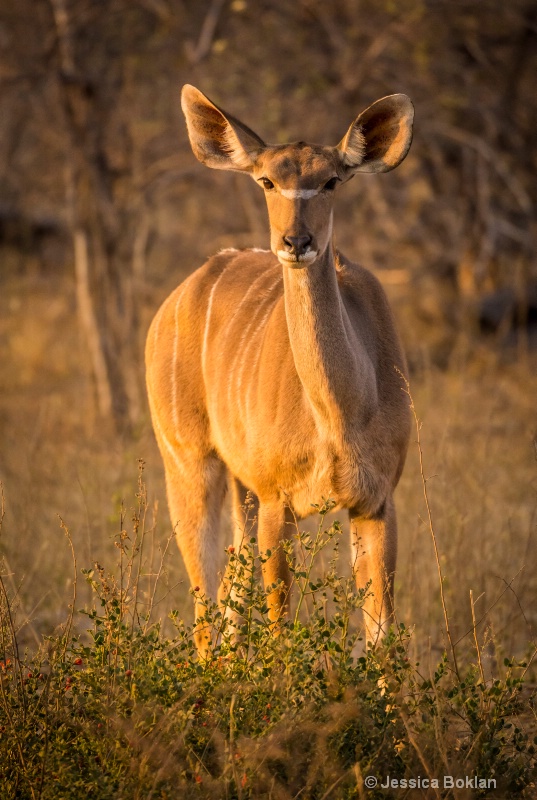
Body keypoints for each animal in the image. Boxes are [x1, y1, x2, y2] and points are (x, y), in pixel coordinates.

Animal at [147, 84, 414, 652]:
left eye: (331, 180)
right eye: (267, 181)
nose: (295, 243)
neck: (340, 416)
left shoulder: (377, 502)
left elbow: (381, 640)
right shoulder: (278, 501)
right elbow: (280, 635)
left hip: (239, 487)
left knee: (230, 586)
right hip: (189, 462)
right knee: (205, 606)